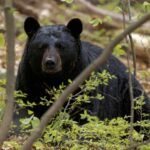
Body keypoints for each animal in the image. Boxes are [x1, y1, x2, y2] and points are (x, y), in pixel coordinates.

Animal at [14, 16, 150, 125]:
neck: (54, 80)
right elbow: (23, 108)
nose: (50, 62)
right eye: (41, 46)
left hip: (127, 92)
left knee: (141, 108)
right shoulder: (27, 79)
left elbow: (83, 111)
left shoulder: (82, 81)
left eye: (61, 46)